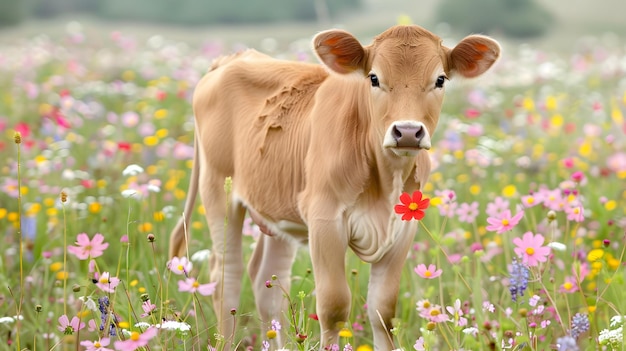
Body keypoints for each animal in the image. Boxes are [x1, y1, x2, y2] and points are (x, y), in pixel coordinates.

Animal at [168, 24, 500, 350]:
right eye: (374, 78)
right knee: (227, 274)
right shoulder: (325, 220)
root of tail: (233, 57)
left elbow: (383, 311)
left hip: (276, 209)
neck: (386, 180)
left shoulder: (404, 227)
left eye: (440, 79)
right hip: (217, 191)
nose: (407, 132)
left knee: (268, 282)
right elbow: (334, 307)